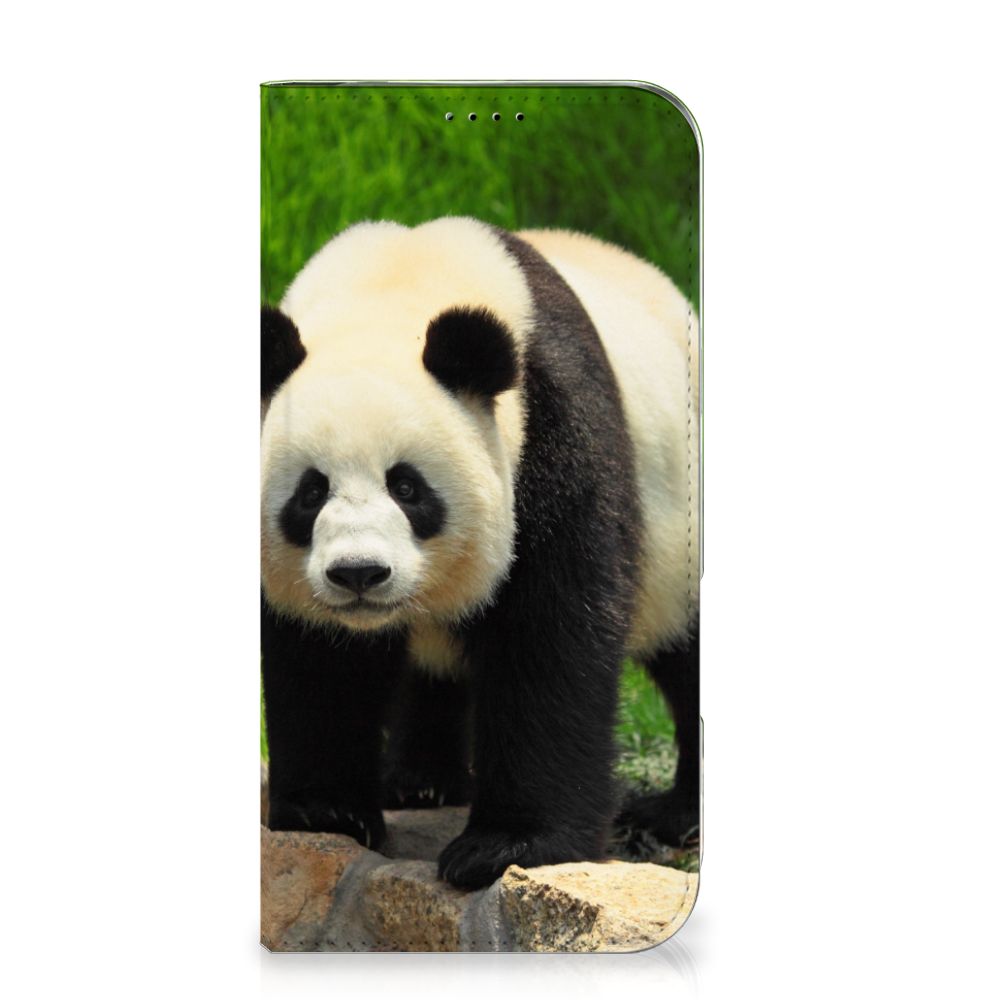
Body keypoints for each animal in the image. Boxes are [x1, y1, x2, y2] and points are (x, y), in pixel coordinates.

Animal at [261, 217, 699, 890]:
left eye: (408, 487)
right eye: (311, 492)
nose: (359, 574)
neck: (393, 286)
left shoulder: (552, 431)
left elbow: (549, 636)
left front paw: (507, 846)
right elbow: (318, 659)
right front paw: (325, 811)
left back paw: (675, 816)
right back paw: (419, 781)